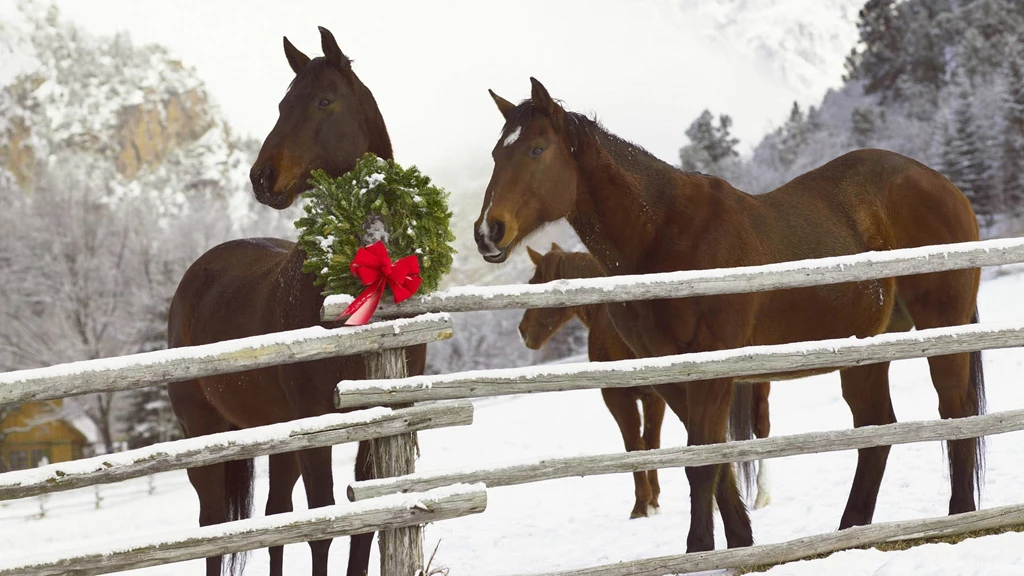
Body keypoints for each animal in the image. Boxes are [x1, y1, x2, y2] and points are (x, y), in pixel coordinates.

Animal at [167, 27, 425, 576]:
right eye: (283, 104)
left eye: (324, 101)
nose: (262, 178)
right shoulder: (315, 426)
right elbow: (322, 526)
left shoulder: (379, 422)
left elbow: (361, 526)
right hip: (206, 435)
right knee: (215, 528)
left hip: (278, 436)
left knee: (275, 517)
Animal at [517, 244, 773, 519]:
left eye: (533, 283)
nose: (523, 331)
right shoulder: (656, 396)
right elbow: (651, 443)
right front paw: (654, 500)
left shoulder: (620, 397)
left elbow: (636, 445)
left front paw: (642, 505)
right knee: (756, 427)